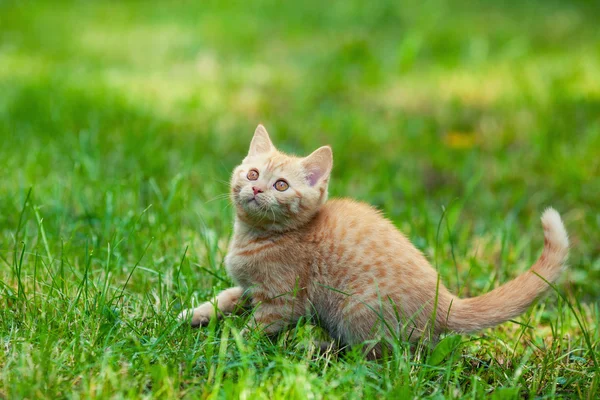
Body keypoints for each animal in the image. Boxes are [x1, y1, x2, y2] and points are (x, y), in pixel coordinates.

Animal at [177, 126, 568, 356]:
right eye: (253, 174)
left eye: (281, 185)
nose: (257, 189)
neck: (255, 235)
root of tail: (443, 299)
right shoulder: (250, 288)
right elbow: (230, 296)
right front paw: (196, 314)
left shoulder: (282, 299)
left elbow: (257, 327)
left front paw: (230, 347)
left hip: (357, 309)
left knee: (387, 355)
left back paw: (322, 351)